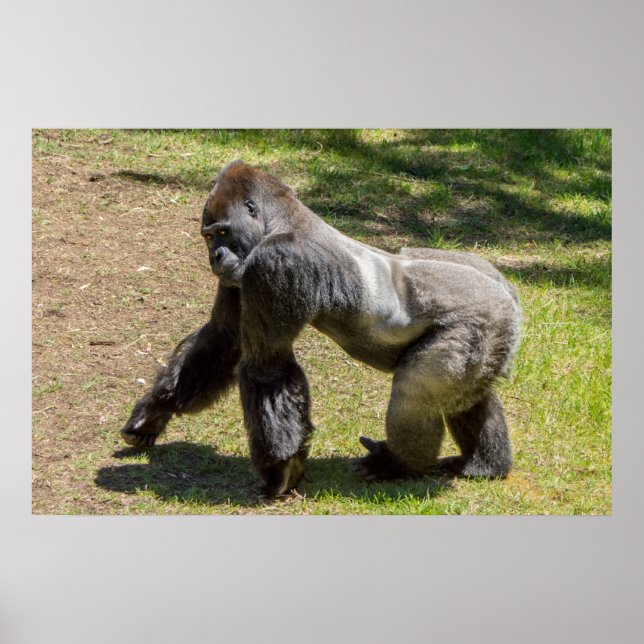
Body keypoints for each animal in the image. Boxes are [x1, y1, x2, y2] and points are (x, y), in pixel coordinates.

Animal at [121, 160, 521, 496]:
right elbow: (222, 338)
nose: (214, 256)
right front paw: (155, 412)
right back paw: (483, 465)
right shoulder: (238, 275)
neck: (282, 218)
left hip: (481, 318)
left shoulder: (273, 263)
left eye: (222, 232)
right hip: (491, 326)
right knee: (465, 392)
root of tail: (506, 291)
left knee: (416, 388)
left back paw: (401, 464)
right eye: (208, 236)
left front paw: (282, 470)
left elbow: (268, 368)